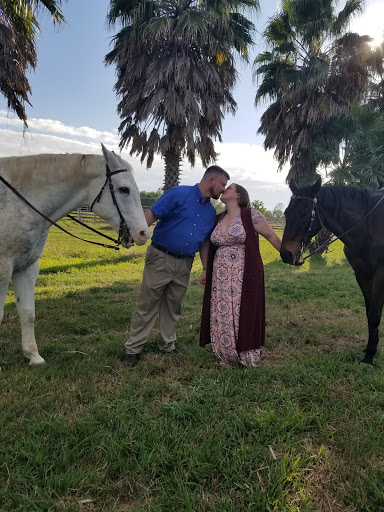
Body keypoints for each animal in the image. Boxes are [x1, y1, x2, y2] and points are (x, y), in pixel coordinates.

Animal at [0, 143, 150, 364]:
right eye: (124, 189)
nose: (143, 233)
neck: (20, 201)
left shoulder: (26, 268)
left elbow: (27, 313)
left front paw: (34, 356)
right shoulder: (3, 269)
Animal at [280, 179, 384, 364]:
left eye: (305, 212)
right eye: (286, 212)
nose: (286, 254)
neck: (369, 225)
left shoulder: (379, 275)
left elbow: (374, 315)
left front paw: (369, 356)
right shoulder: (362, 274)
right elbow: (369, 312)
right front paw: (369, 349)